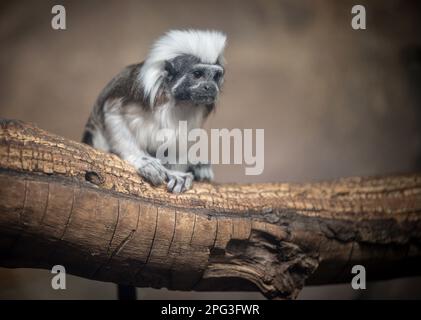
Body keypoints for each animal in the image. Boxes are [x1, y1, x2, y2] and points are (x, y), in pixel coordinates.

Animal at [82, 29, 226, 192]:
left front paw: (178, 171)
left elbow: (183, 139)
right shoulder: (136, 90)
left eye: (216, 76)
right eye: (197, 75)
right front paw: (144, 161)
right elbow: (112, 112)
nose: (210, 87)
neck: (175, 100)